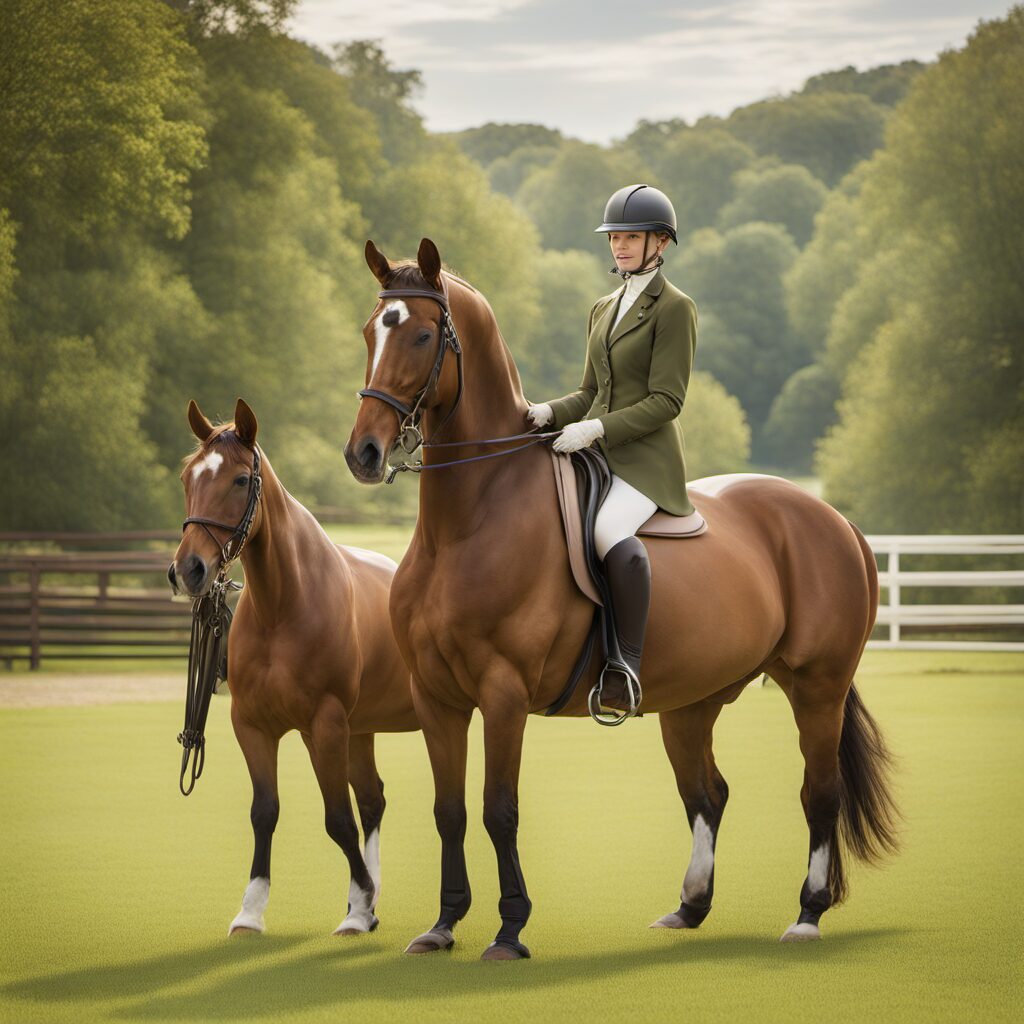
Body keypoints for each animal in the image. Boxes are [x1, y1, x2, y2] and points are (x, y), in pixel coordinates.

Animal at [170, 398, 418, 937]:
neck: (283, 608)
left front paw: (359, 903)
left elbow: (337, 819)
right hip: (359, 730)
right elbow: (265, 812)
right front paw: (251, 910)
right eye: (188, 476)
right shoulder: (254, 726)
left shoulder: (322, 725)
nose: (189, 570)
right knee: (373, 799)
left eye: (241, 479)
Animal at [344, 238, 899, 961]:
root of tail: (838, 523)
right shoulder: (436, 695)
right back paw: (690, 907)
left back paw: (807, 914)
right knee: (708, 793)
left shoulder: (503, 692)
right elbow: (450, 811)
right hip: (693, 701)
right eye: (368, 332)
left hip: (817, 686)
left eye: (419, 334)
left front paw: (510, 929)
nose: (363, 453)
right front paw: (442, 925)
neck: (468, 521)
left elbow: (499, 808)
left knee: (819, 793)